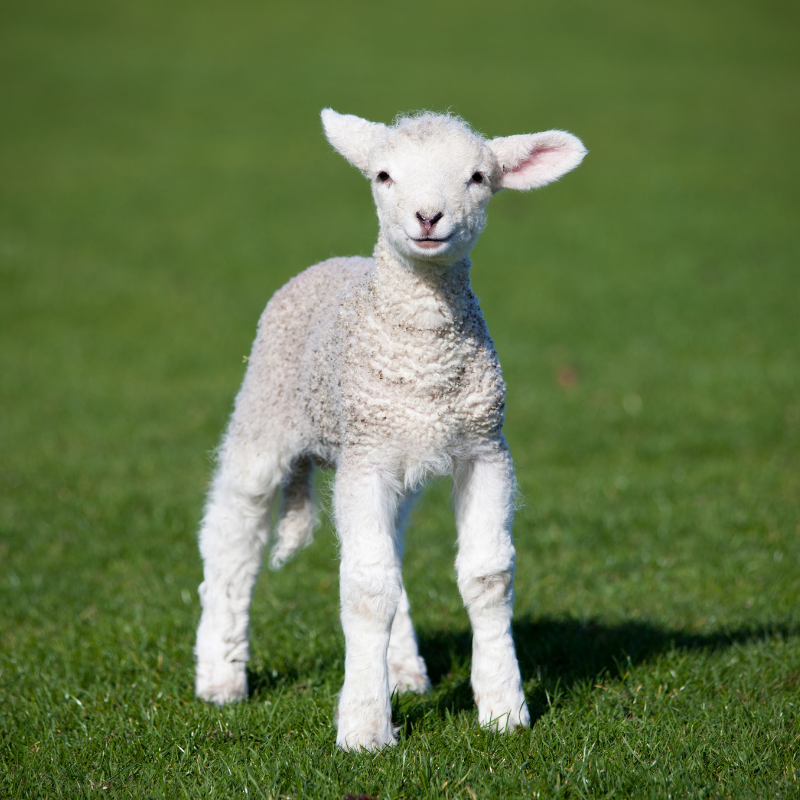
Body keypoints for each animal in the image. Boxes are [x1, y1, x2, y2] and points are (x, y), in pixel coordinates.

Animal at [194, 109, 587, 751]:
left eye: (479, 177)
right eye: (383, 175)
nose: (428, 217)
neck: (422, 357)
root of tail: (336, 261)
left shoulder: (485, 448)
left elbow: (486, 575)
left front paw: (504, 709)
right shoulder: (366, 458)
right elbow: (366, 588)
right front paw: (363, 728)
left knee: (391, 551)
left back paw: (403, 670)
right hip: (264, 412)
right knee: (232, 535)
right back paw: (220, 679)